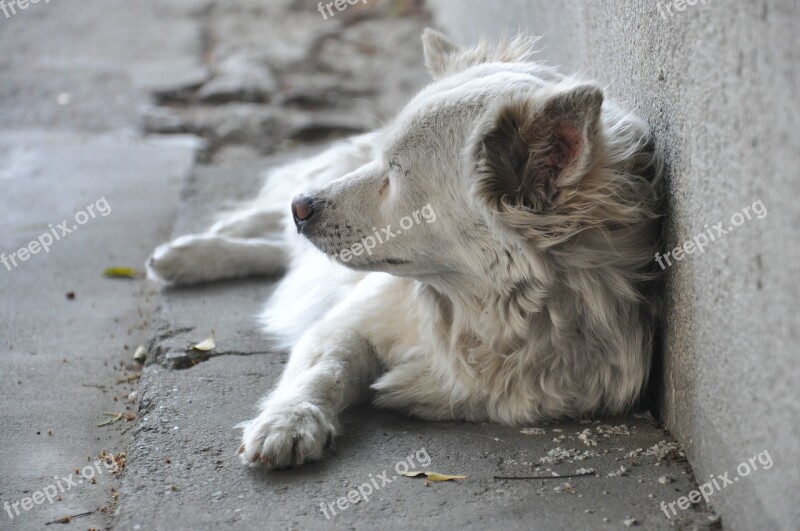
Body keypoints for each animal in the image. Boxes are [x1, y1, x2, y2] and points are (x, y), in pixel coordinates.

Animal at [148, 31, 664, 468]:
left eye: (395, 173)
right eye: (384, 159)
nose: (301, 208)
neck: (481, 312)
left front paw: (401, 389)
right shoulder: (346, 323)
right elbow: (322, 372)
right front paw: (288, 421)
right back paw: (194, 250)